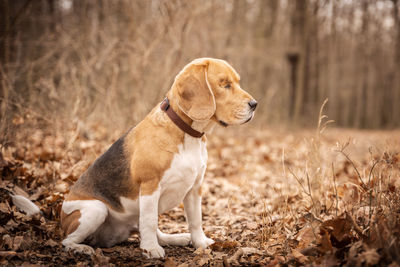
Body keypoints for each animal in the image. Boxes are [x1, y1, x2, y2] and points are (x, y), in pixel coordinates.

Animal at [61, 57, 258, 258]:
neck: (188, 135)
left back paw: (177, 238)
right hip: (95, 210)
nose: (254, 104)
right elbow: (149, 222)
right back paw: (81, 248)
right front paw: (150, 249)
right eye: (225, 85)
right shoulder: (150, 186)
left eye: (237, 82)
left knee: (155, 232)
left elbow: (195, 220)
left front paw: (200, 243)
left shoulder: (195, 187)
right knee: (66, 241)